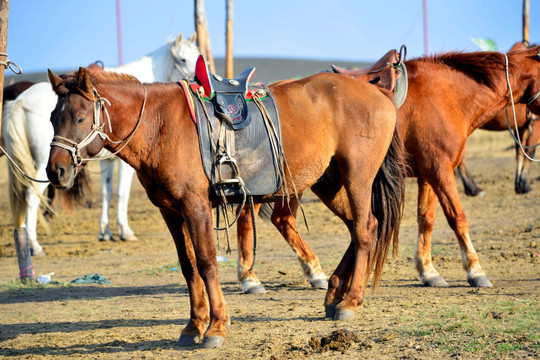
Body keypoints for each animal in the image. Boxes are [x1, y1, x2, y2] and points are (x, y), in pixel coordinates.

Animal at [2, 32, 200, 255]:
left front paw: (105, 232)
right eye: (183, 59)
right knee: (31, 195)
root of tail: (20, 101)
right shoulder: (125, 163)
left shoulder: (108, 160)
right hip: (44, 165)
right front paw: (124, 231)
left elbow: (107, 193)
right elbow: (122, 193)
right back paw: (34, 244)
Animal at [45, 67, 404, 346]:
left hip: (357, 177)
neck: (159, 124)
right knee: (358, 228)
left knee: (365, 228)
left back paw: (350, 301)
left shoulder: (196, 207)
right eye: (51, 118)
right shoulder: (172, 213)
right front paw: (193, 326)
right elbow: (188, 267)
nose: (55, 171)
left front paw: (215, 327)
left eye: (79, 117)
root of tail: (379, 92)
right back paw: (333, 293)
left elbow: (206, 264)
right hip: (329, 183)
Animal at [456, 42, 540, 197]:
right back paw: (473, 188)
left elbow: (519, 153)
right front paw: (525, 186)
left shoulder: (522, 126)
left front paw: (518, 185)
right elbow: (529, 153)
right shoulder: (536, 124)